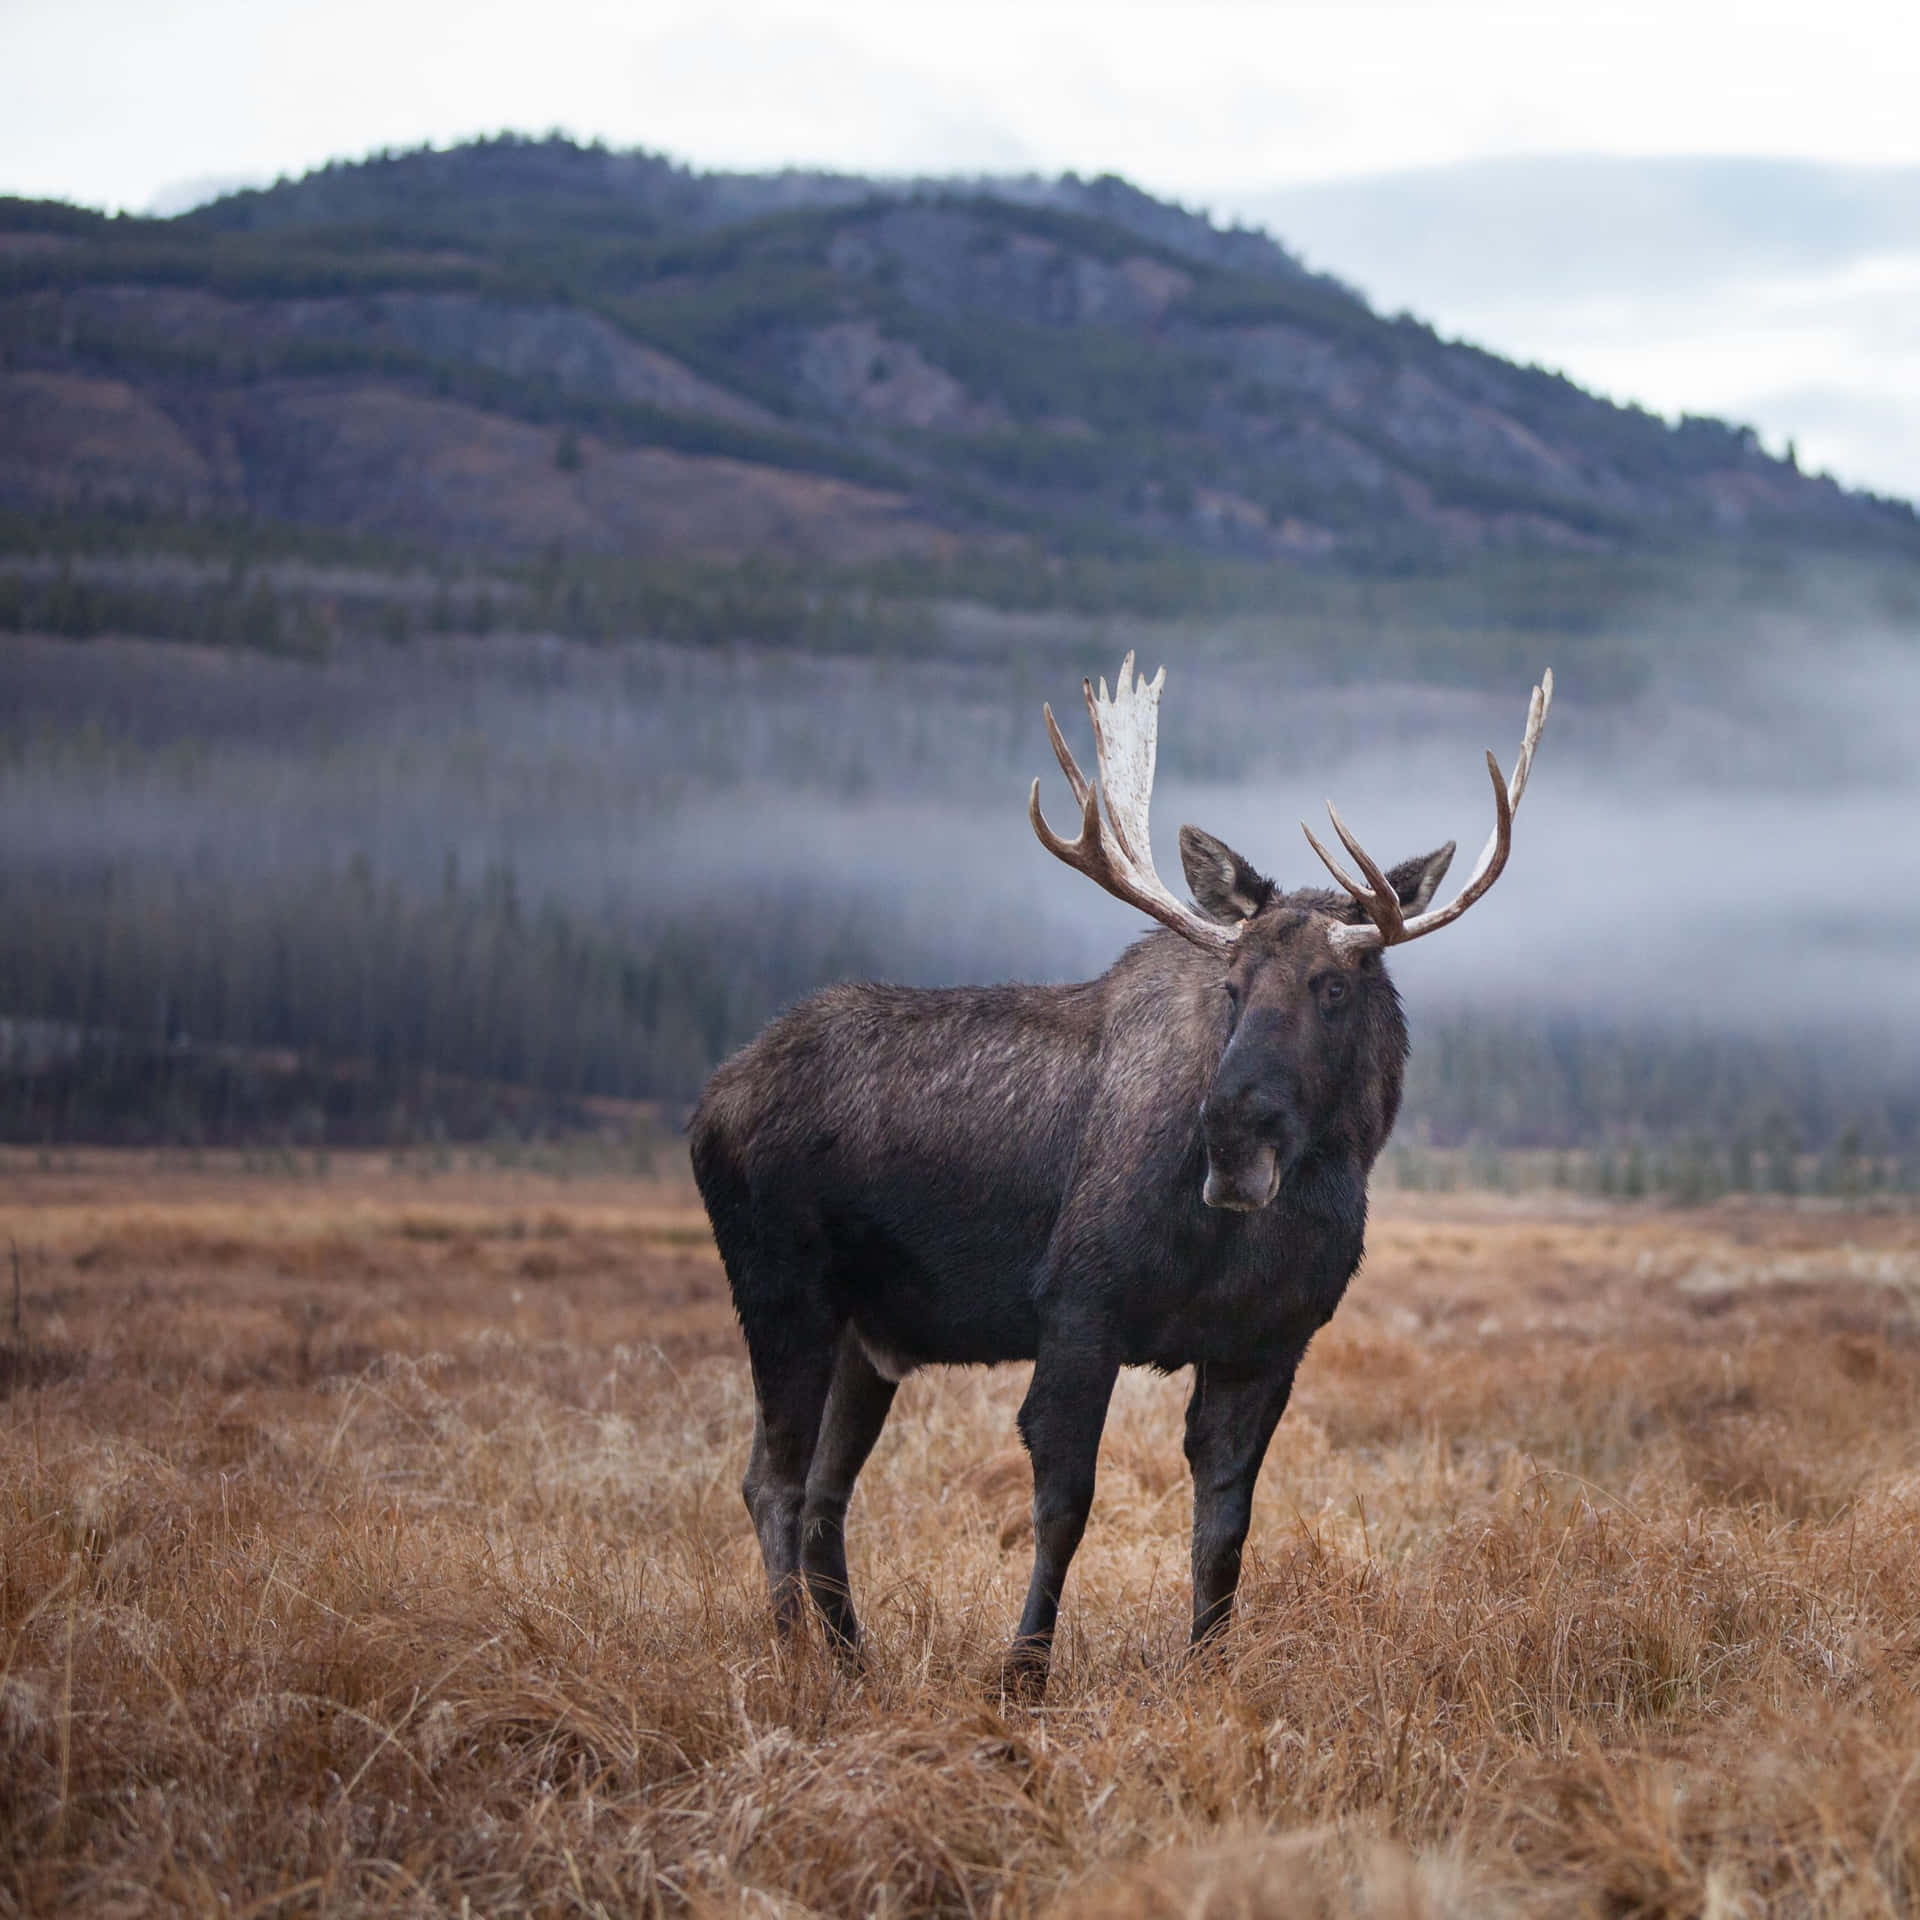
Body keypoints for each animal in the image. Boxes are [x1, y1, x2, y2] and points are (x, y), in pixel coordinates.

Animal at [691, 660, 1543, 1697]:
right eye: (1231, 986)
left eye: (1334, 986)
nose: (1231, 1137)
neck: (1252, 1232)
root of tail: (711, 1101)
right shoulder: (1078, 1310)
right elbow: (1064, 1506)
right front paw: (1022, 1674)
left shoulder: (1268, 1344)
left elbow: (1224, 1530)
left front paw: (1209, 1669)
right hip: (783, 1293)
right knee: (769, 1481)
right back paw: (793, 1662)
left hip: (869, 1336)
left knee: (822, 1490)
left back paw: (855, 1662)